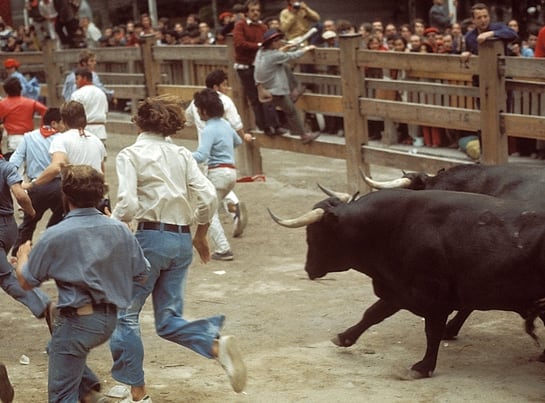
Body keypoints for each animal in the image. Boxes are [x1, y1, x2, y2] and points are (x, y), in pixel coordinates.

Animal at [270, 189, 544, 378]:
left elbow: (431, 332)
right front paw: (344, 337)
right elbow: (372, 314)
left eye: (314, 234)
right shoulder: (399, 290)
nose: (309, 269)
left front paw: (423, 367)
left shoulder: (433, 297)